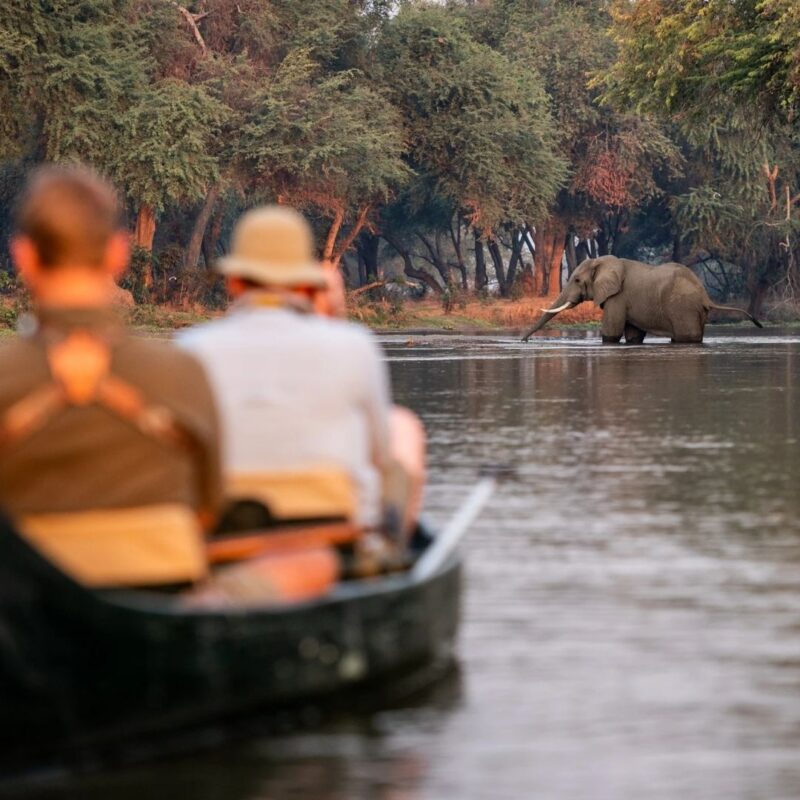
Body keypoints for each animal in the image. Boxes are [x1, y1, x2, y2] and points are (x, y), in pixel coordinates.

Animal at [521, 255, 762, 344]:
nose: (524, 341)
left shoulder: (617, 297)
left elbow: (611, 333)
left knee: (685, 337)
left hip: (683, 309)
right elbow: (633, 336)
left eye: (577, 280)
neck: (604, 261)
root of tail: (706, 296)